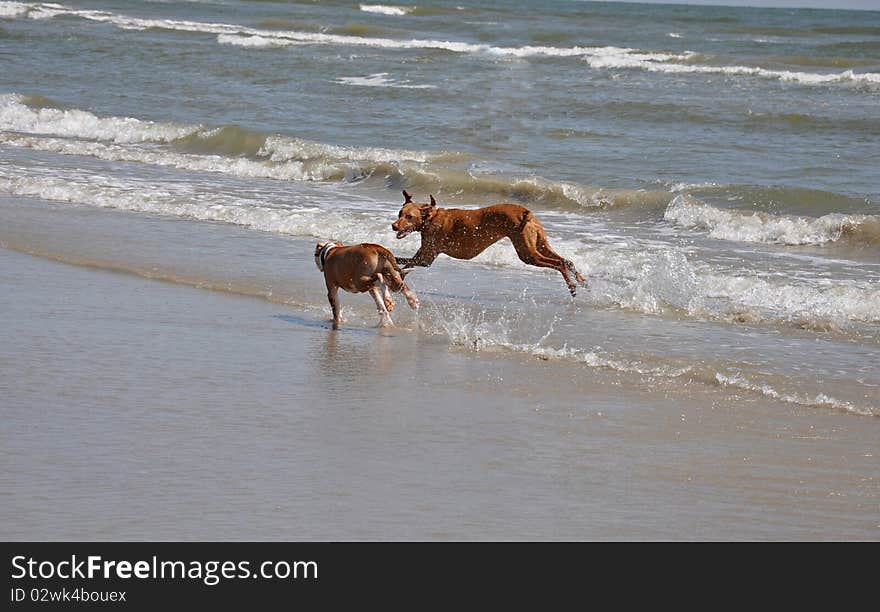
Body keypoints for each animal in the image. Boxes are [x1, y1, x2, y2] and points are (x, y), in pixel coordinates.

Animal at [390, 191, 584, 296]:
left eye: (409, 217)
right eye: (399, 213)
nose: (393, 226)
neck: (430, 217)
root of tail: (525, 212)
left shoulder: (426, 259)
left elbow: (401, 261)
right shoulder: (423, 255)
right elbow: (403, 264)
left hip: (528, 254)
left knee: (558, 264)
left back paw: (572, 286)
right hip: (540, 244)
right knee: (567, 260)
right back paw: (581, 281)